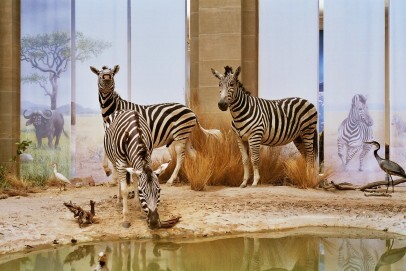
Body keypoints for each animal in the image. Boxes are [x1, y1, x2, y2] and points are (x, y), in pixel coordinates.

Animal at [90, 65, 220, 187]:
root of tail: (190, 110)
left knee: (181, 157)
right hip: (185, 136)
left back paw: (171, 180)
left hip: (180, 134)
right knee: (194, 154)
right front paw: (113, 177)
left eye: (112, 74)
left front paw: (113, 176)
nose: (107, 78)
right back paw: (198, 176)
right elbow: (108, 152)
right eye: (99, 74)